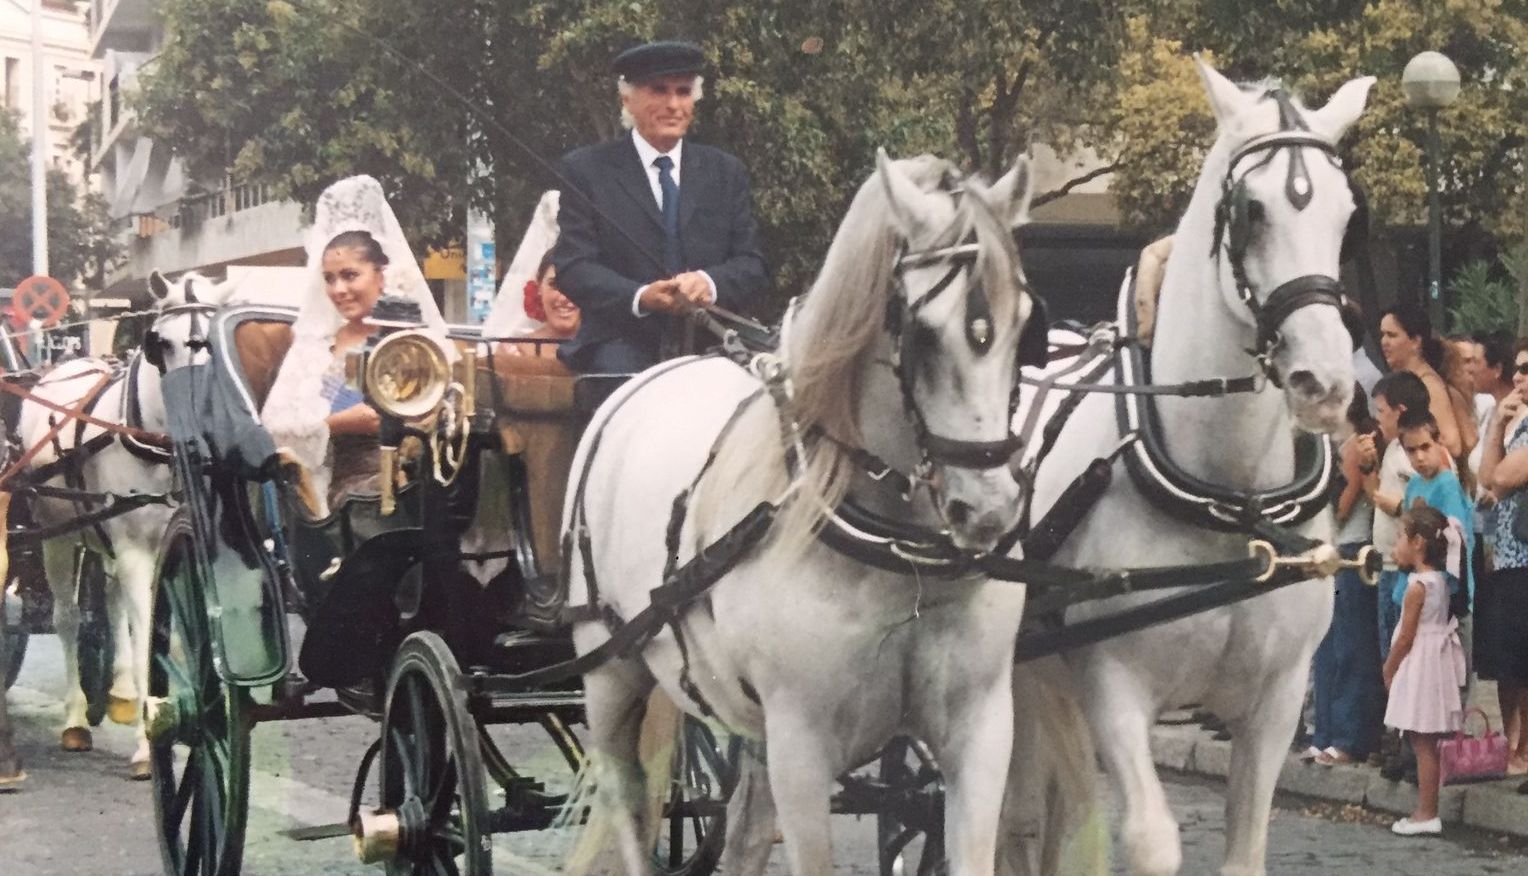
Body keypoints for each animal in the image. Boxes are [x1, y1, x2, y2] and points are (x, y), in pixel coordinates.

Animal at [15, 270, 215, 776]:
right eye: (160, 343)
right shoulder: (135, 552)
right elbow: (147, 638)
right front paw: (148, 743)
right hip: (57, 536)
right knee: (69, 617)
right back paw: (75, 719)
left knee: (111, 601)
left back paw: (121, 694)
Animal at [568, 152, 1081, 874]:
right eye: (922, 332)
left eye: (1026, 326)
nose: (987, 510)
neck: (896, 556)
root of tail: (641, 384)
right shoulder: (802, 747)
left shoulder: (980, 728)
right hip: (611, 674)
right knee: (627, 809)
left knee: (745, 827)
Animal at [996, 58, 1381, 868]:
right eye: (1251, 211)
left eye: (1346, 216)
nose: (1326, 385)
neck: (1232, 502)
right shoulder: (1113, 686)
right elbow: (1151, 842)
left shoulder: (1275, 702)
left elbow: (1244, 849)